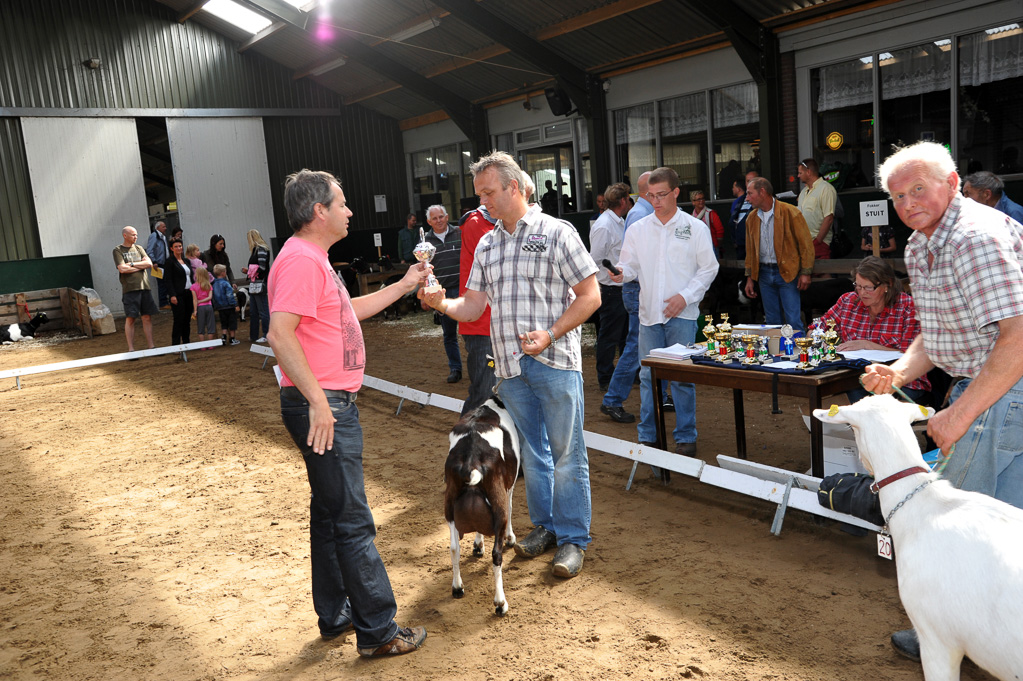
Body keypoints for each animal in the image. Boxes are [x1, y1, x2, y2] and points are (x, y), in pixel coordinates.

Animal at [443, 394, 519, 613]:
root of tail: (471, 460)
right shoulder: (509, 487)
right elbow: (511, 507)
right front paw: (511, 538)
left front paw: (477, 544)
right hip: (498, 503)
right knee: (497, 555)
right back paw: (500, 603)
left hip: (449, 505)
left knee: (454, 547)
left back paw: (457, 587)